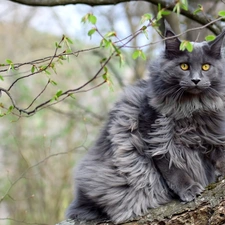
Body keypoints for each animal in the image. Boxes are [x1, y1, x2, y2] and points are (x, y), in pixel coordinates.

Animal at [66, 29, 225, 223]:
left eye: (206, 67)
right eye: (184, 66)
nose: (195, 80)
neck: (191, 108)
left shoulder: (213, 136)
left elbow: (219, 158)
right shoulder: (156, 139)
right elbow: (174, 171)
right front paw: (189, 189)